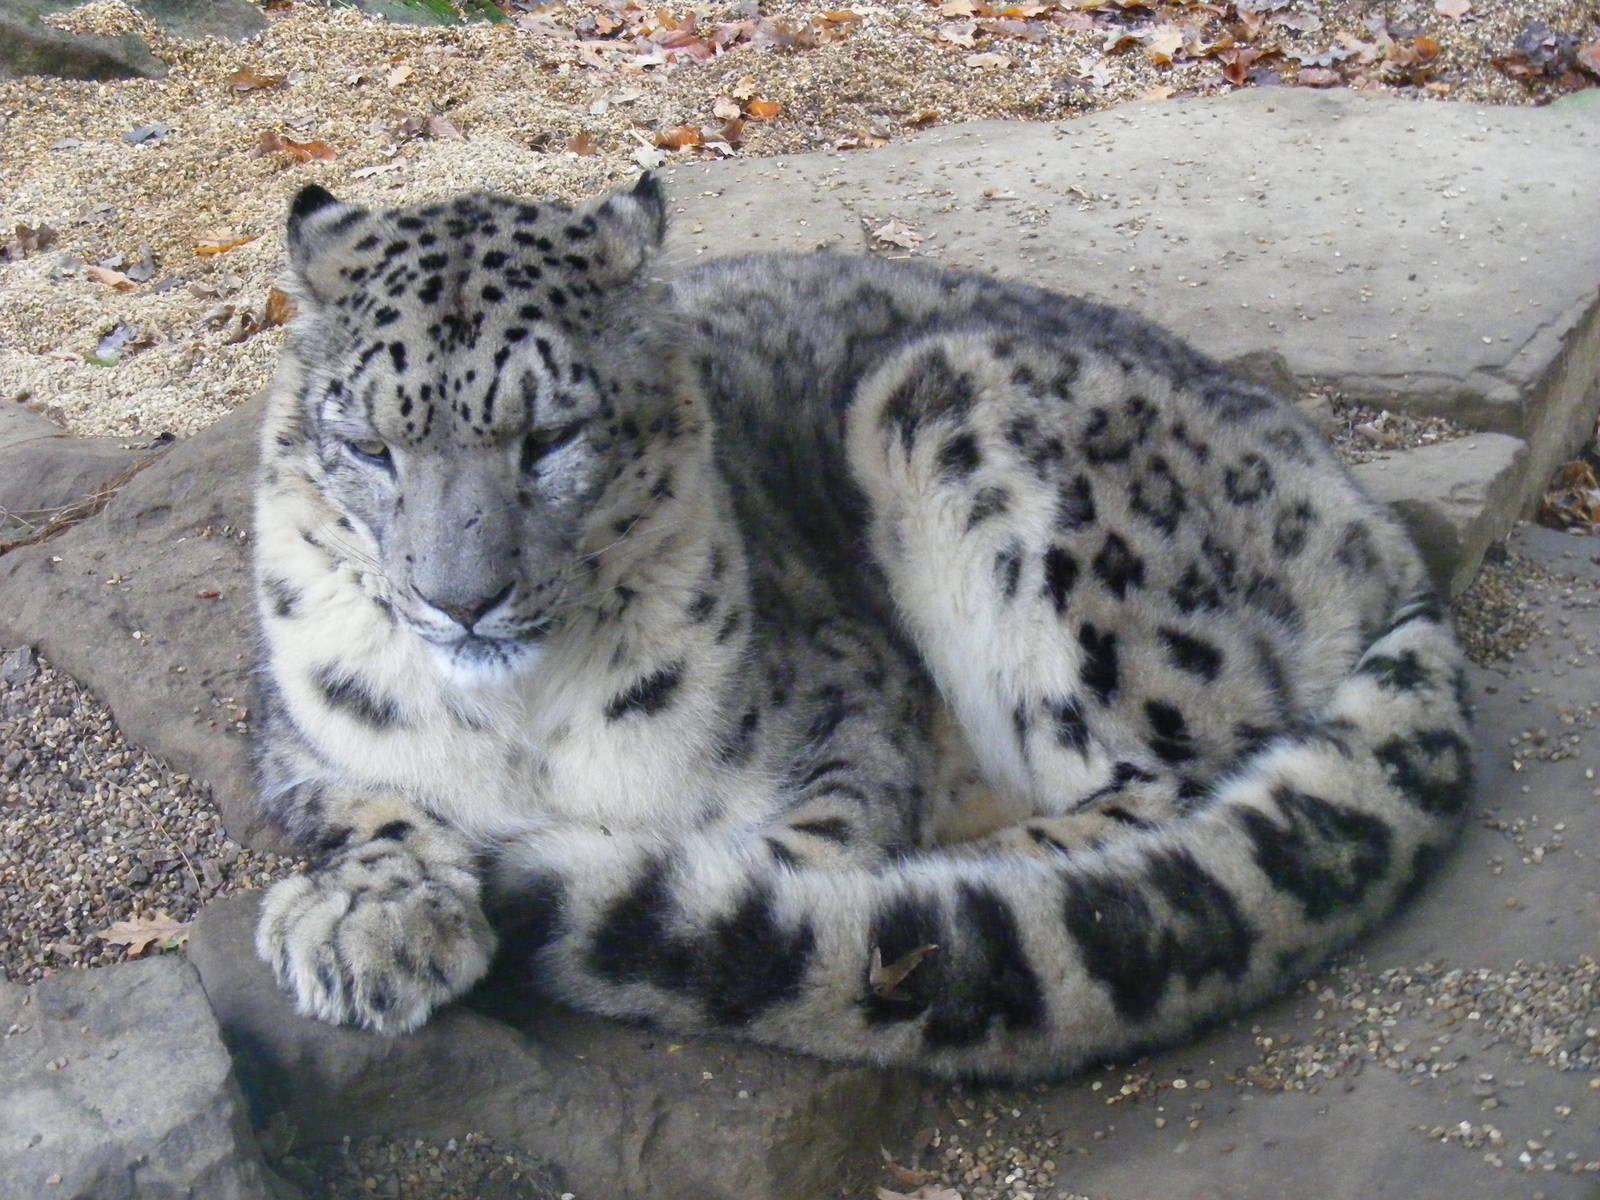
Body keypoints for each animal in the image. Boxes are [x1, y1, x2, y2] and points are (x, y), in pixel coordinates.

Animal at [250, 174, 1472, 1080]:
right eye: (370, 447)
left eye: (549, 437)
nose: (462, 598)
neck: (521, 723)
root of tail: (1365, 513)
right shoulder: (303, 729)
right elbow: (362, 800)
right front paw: (367, 921)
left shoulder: (846, 716)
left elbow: (801, 847)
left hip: (976, 433)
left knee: (1169, 777)